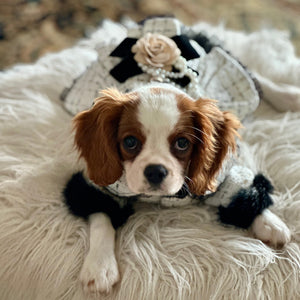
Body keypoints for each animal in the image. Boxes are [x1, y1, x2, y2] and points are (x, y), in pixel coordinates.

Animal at [63, 83, 290, 294]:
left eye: (182, 143)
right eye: (130, 142)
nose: (155, 171)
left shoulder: (217, 177)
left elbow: (241, 190)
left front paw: (269, 222)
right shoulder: (101, 185)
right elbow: (101, 217)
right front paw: (100, 265)